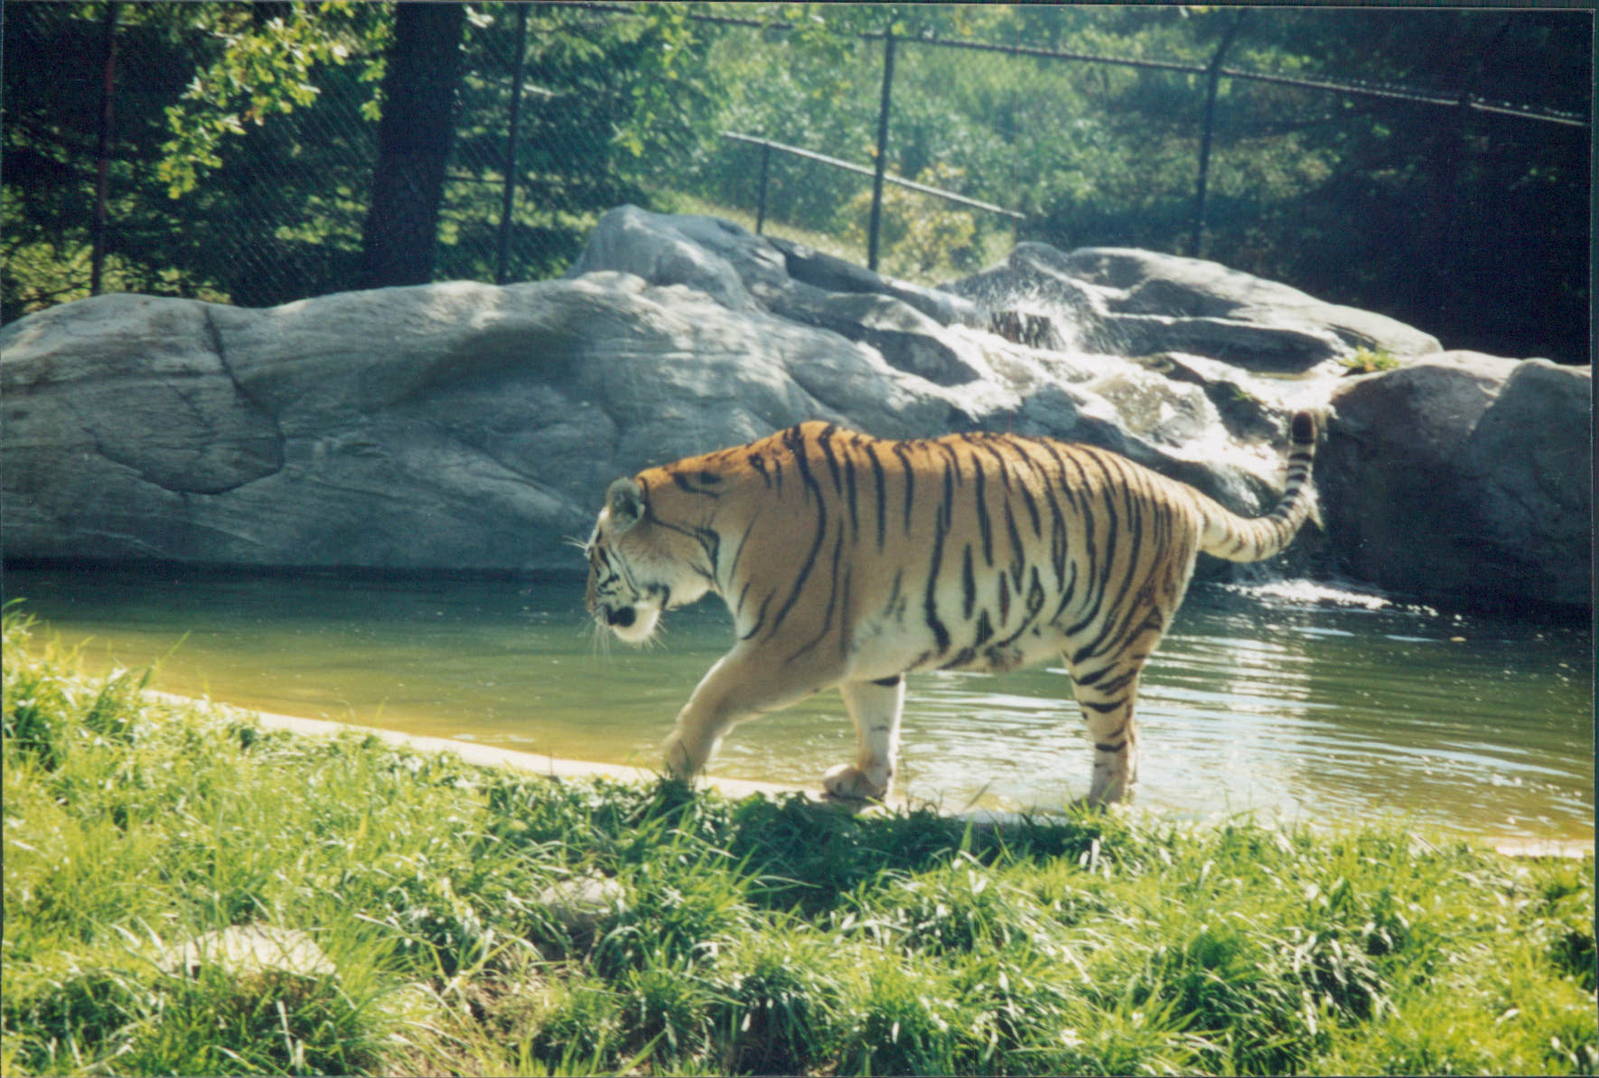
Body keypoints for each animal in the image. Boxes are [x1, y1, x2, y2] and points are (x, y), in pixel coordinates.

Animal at [584, 412, 1318, 805]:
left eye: (593, 556)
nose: (588, 605)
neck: (705, 531)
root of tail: (1177, 486)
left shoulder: (793, 641)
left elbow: (711, 694)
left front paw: (672, 764)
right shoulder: (866, 652)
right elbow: (878, 720)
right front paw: (865, 784)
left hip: (1104, 651)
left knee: (1123, 741)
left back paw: (1091, 810)